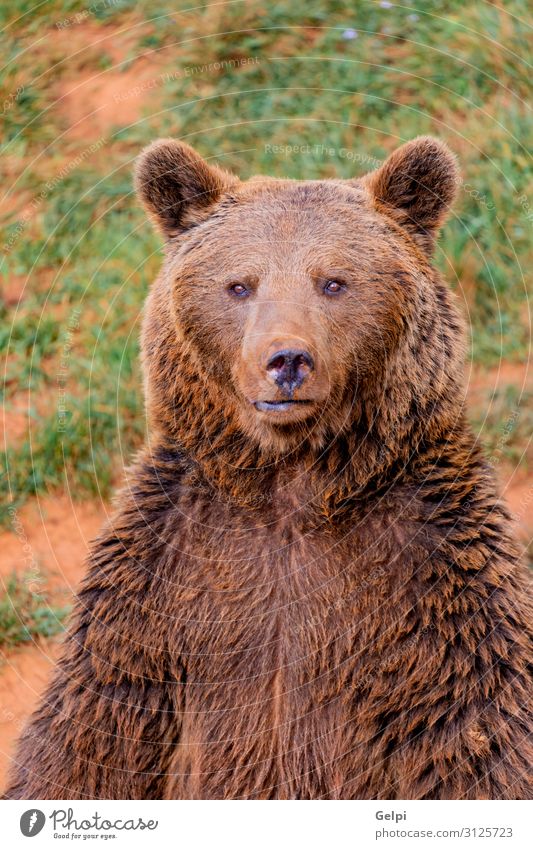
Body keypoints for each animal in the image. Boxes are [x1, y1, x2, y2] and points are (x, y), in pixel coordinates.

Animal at [5, 136, 532, 800]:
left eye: (333, 282)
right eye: (239, 285)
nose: (286, 361)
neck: (289, 486)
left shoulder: (434, 576)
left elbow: (477, 734)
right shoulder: (162, 579)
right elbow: (90, 735)